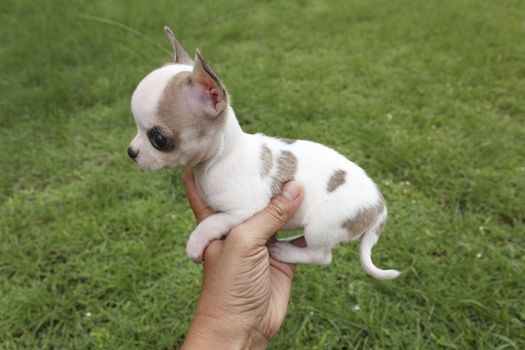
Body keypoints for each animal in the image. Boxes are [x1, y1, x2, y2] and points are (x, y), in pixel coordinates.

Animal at [127, 26, 398, 278]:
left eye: (159, 139)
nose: (131, 152)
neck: (222, 157)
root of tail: (379, 206)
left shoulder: (242, 211)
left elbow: (211, 222)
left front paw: (195, 243)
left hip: (322, 224)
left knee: (321, 256)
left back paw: (286, 251)